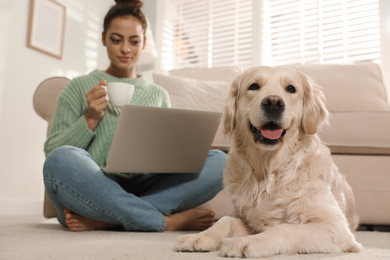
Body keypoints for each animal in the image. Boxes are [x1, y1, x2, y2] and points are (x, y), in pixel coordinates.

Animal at [175, 66, 362, 258]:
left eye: (291, 88)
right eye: (254, 86)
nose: (273, 102)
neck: (269, 170)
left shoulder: (335, 227)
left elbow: (284, 228)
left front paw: (245, 242)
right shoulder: (249, 219)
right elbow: (226, 220)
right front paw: (200, 236)